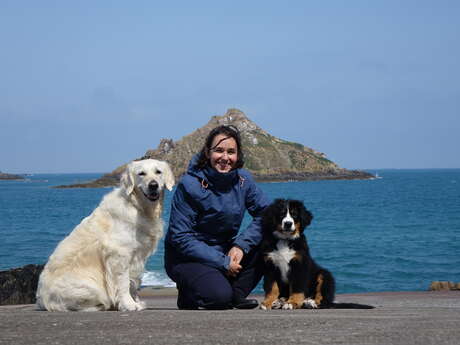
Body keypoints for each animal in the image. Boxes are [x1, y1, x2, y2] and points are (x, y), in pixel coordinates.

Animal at [36, 160, 174, 310]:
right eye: (141, 173)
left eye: (158, 172)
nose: (153, 185)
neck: (137, 207)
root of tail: (42, 300)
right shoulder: (119, 254)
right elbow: (123, 283)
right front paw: (128, 304)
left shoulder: (136, 257)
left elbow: (133, 282)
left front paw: (135, 302)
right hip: (90, 286)